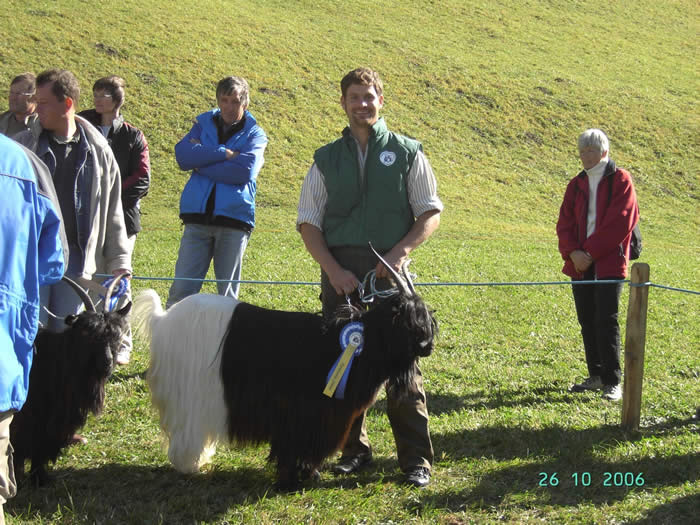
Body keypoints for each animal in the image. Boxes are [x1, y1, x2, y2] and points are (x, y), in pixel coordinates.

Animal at [11, 276, 132, 486]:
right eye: (87, 334)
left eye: (116, 336)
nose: (107, 363)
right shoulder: (28, 416)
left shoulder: (51, 423)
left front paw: (40, 477)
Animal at [133, 246, 434, 488]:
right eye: (408, 319)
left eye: (425, 316)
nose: (427, 346)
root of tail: (163, 320)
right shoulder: (301, 413)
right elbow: (295, 446)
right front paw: (294, 478)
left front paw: (305, 474)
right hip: (190, 393)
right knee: (186, 431)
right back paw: (190, 466)